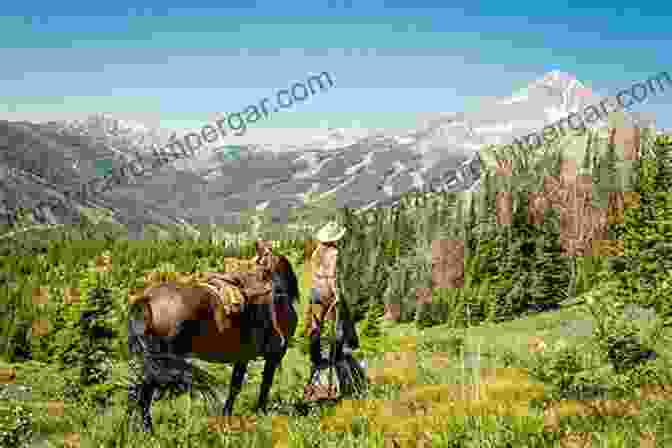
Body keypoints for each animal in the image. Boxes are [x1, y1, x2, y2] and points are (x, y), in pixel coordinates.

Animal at [127, 242, 300, 434]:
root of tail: (147, 298)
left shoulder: (243, 357)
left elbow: (235, 385)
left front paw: (226, 417)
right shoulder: (273, 356)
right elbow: (263, 384)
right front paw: (259, 412)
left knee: (141, 391)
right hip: (161, 360)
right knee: (145, 392)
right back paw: (148, 430)